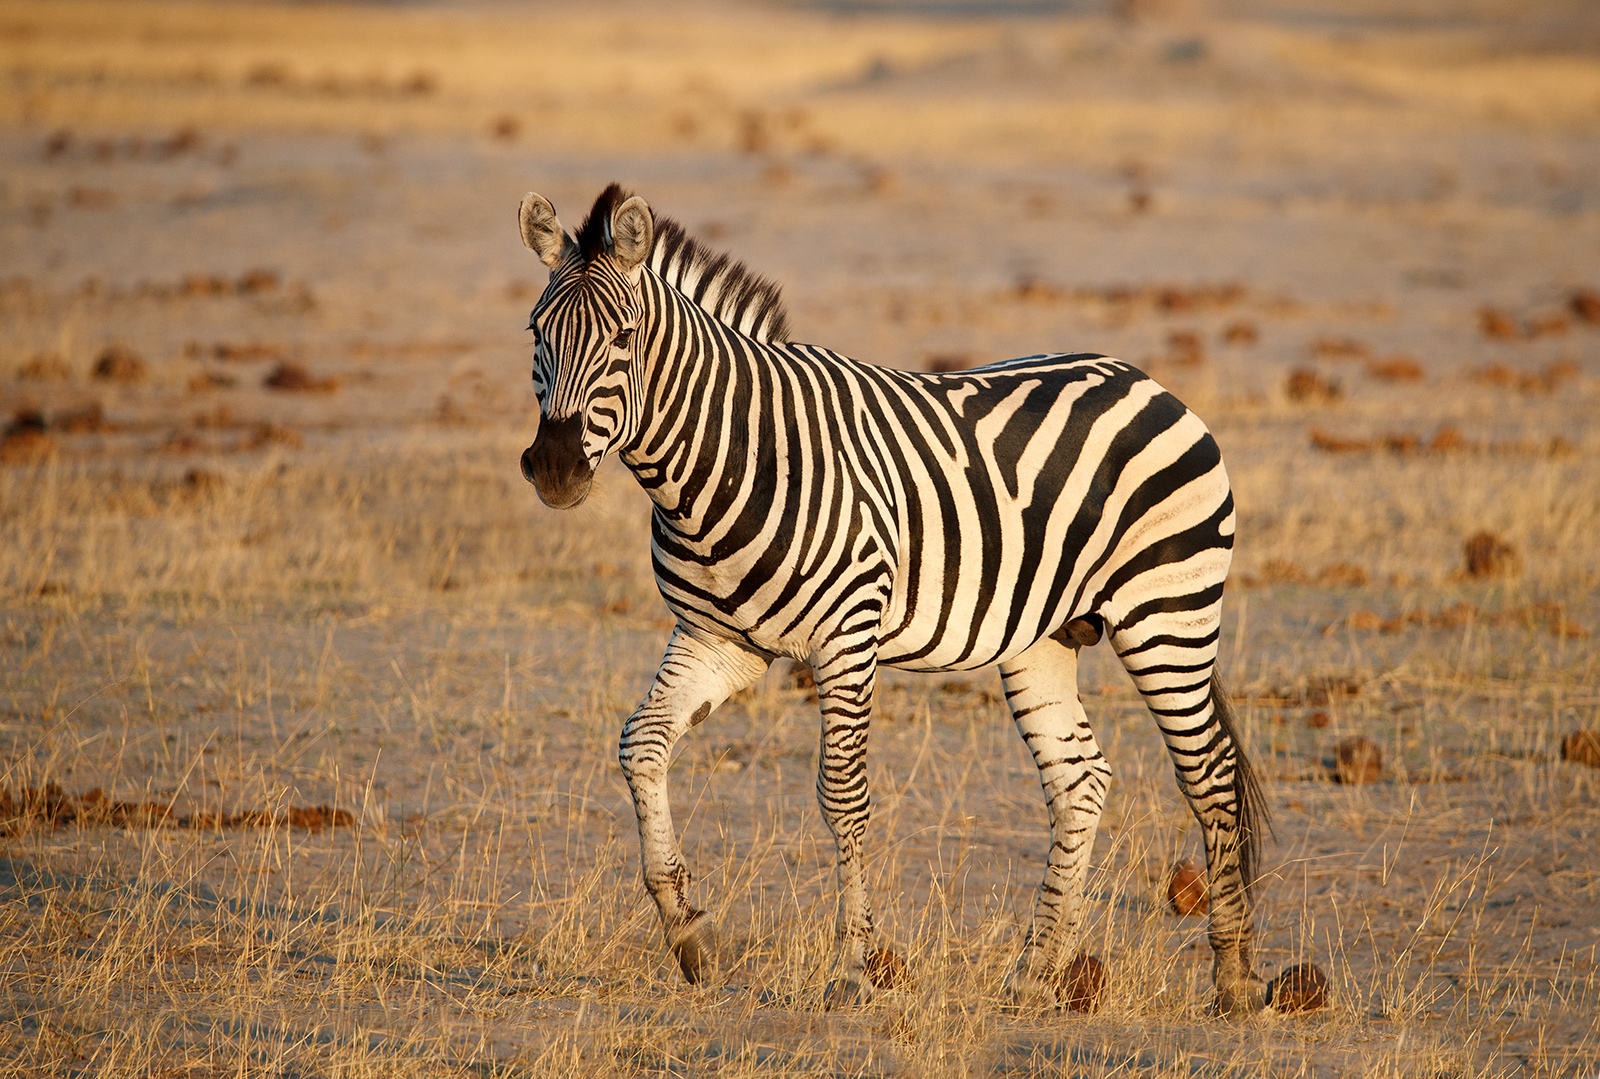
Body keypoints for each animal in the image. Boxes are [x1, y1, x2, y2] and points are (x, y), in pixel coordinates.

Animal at [516, 183, 1270, 1015]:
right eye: (535, 332)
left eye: (624, 338)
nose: (554, 468)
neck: (721, 464)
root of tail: (1146, 381)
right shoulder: (719, 639)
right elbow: (642, 742)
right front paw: (689, 932)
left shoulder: (848, 632)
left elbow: (843, 795)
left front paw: (858, 965)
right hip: (1043, 636)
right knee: (1082, 779)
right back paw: (1036, 973)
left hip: (1167, 614)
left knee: (1210, 772)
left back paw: (1235, 976)